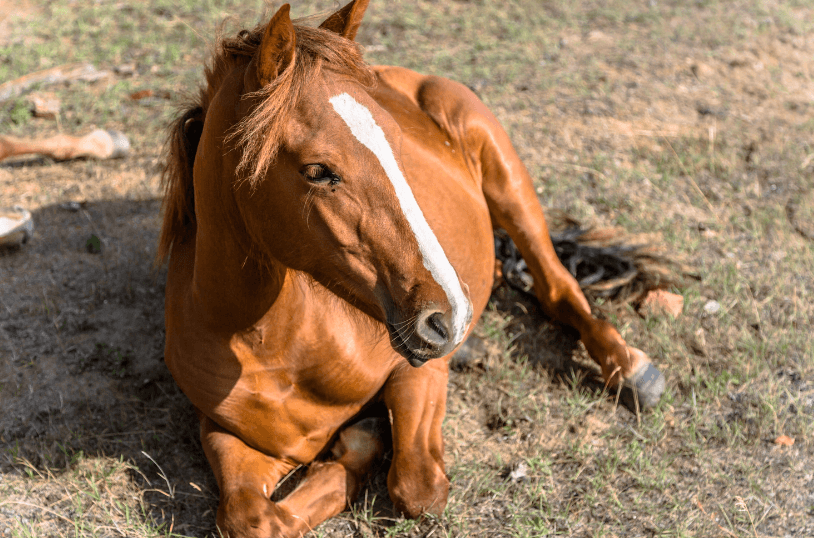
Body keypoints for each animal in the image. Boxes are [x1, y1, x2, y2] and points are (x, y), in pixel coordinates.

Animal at [158, 1, 665, 536]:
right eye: (317, 171)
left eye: (397, 146)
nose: (449, 317)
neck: (269, 344)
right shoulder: (226, 434)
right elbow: (249, 517)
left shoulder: (416, 370)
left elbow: (416, 488)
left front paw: (365, 443)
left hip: (509, 182)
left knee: (557, 286)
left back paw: (631, 368)